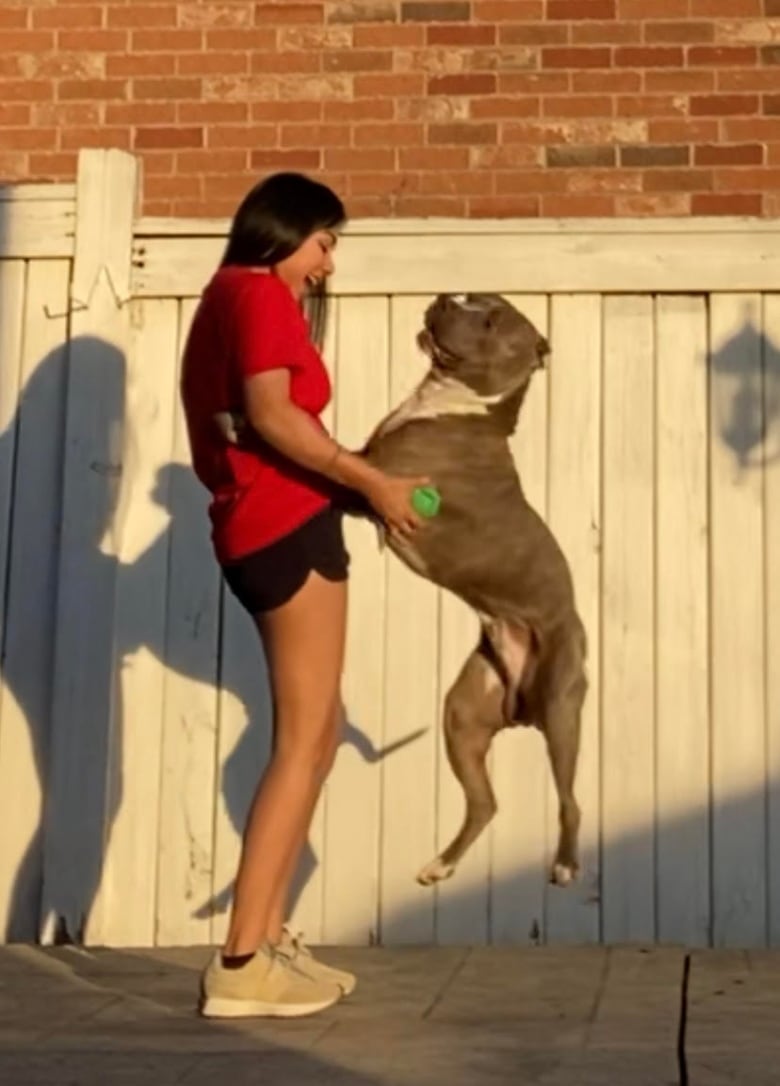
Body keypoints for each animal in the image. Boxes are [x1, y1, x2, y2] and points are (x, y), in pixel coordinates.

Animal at [356, 293, 586, 886]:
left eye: (490, 318)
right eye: (481, 300)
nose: (447, 296)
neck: (455, 403)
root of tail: (521, 707)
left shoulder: (374, 479)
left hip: (561, 707)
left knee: (570, 800)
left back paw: (565, 865)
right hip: (463, 714)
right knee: (484, 803)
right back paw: (440, 865)